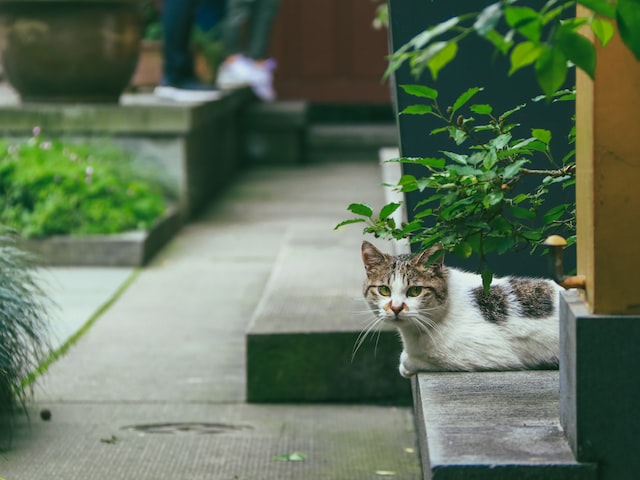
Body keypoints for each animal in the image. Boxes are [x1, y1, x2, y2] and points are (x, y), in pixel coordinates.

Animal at [362, 242, 564, 376]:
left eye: (415, 291)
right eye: (384, 290)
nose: (396, 308)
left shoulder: (488, 355)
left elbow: (418, 359)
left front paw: (406, 363)